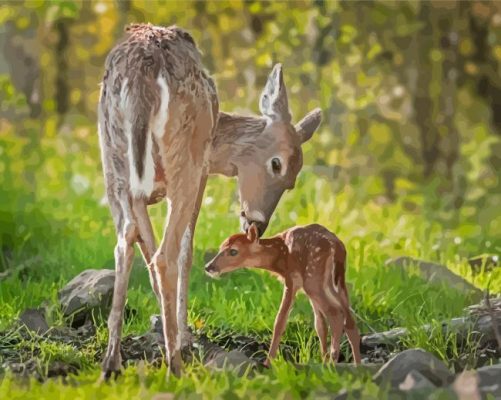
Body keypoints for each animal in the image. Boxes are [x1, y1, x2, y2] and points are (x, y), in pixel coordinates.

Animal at [97, 23, 320, 376]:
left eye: (292, 182)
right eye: (278, 164)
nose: (256, 223)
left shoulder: (139, 195)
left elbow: (142, 244)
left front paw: (167, 327)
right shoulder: (201, 172)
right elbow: (185, 250)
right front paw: (183, 338)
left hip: (113, 158)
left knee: (125, 243)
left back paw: (111, 362)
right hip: (183, 160)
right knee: (166, 254)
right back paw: (175, 364)